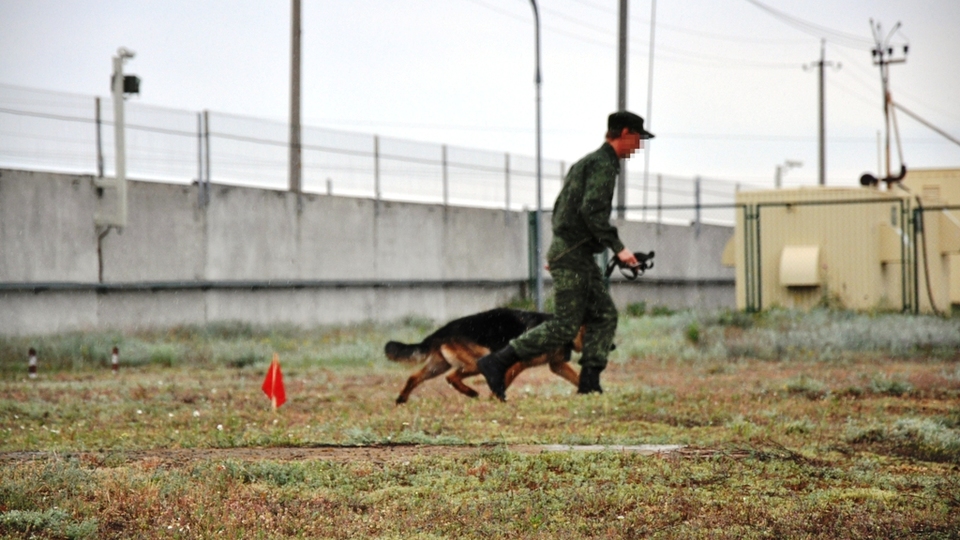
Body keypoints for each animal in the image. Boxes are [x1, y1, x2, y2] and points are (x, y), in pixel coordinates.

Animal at [384, 310, 580, 402]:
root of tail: (442, 330)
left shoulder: (557, 365)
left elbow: (576, 378)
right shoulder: (515, 364)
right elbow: (503, 381)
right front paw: (496, 399)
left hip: (438, 366)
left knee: (415, 377)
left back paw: (401, 399)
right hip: (477, 361)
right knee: (452, 376)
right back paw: (471, 392)